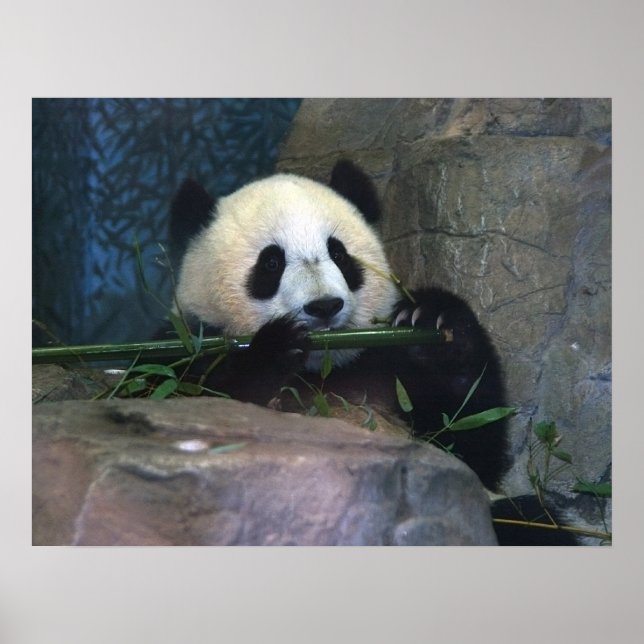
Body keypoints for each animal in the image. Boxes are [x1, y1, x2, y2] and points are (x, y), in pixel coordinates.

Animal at [166, 159, 578, 546]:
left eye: (339, 254)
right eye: (271, 262)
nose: (324, 306)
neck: (323, 369)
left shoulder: (386, 363)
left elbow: (471, 444)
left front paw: (437, 320)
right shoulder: (186, 347)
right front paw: (274, 347)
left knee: (526, 521)